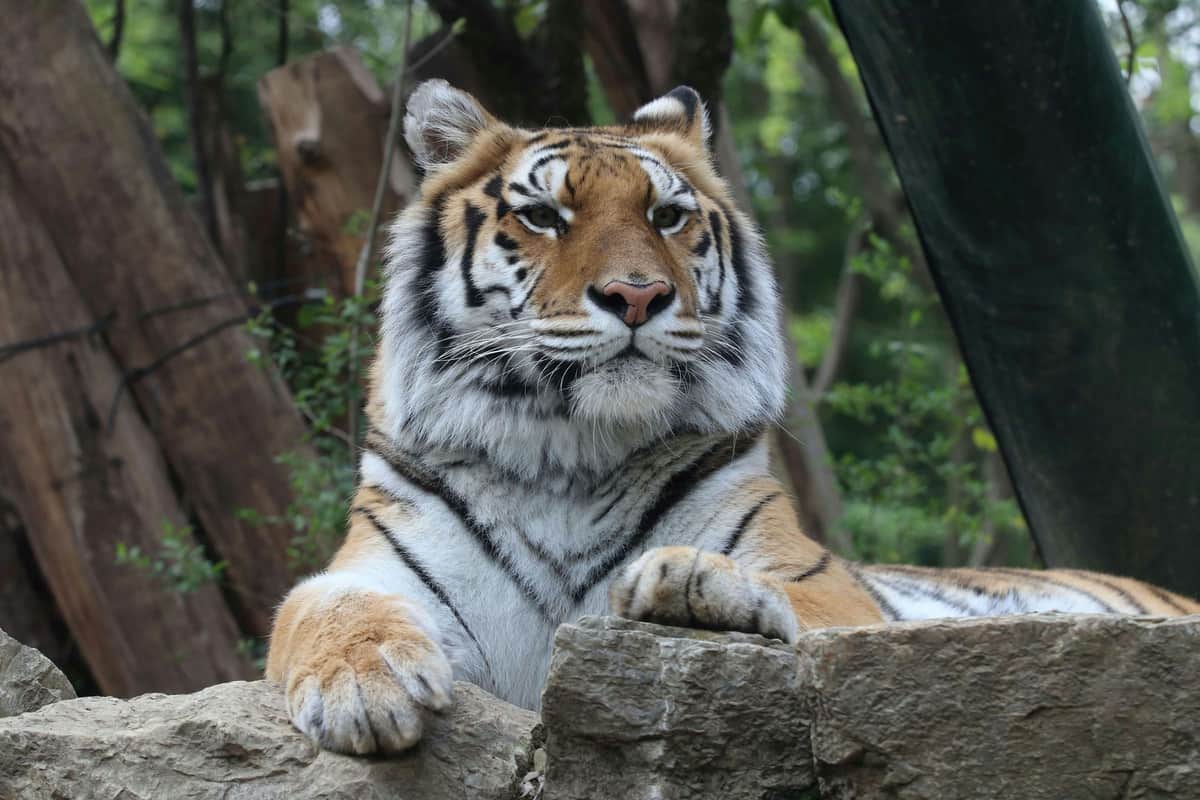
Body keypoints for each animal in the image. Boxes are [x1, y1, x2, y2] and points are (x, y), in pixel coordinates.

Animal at [265, 79, 1200, 755]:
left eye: (667, 215)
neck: (570, 452)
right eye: (542, 216)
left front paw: (687, 584)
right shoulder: (368, 568)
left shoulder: (828, 586)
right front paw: (364, 686)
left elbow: (789, 597)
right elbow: (324, 608)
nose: (637, 296)